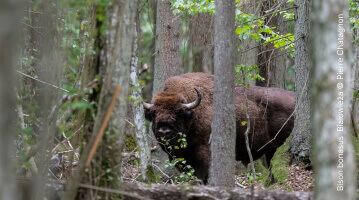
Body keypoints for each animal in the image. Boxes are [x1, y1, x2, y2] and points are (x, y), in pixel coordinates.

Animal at [143, 72, 296, 184]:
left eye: (178, 113)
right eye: (154, 113)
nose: (164, 131)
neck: (192, 115)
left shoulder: (202, 150)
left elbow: (200, 174)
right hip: (271, 149)